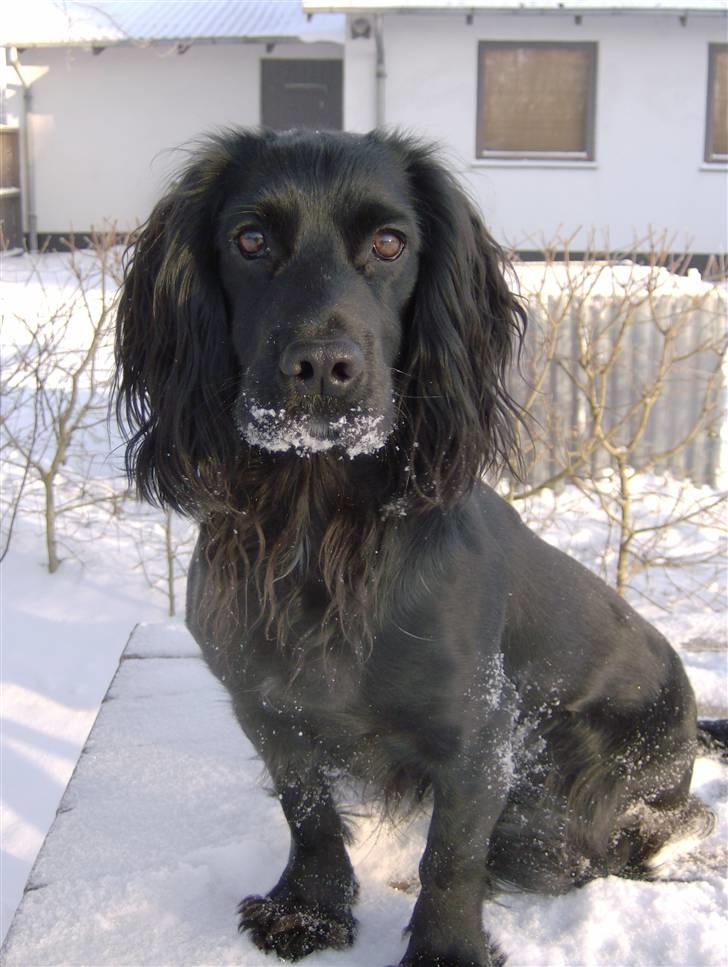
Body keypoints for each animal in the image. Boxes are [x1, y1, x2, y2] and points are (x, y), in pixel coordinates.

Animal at [115, 130, 712, 967]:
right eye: (251, 239)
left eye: (390, 242)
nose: (321, 368)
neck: (317, 527)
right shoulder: (266, 706)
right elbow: (307, 808)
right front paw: (309, 907)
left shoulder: (480, 730)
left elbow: (453, 854)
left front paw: (446, 949)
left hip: (578, 788)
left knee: (627, 835)